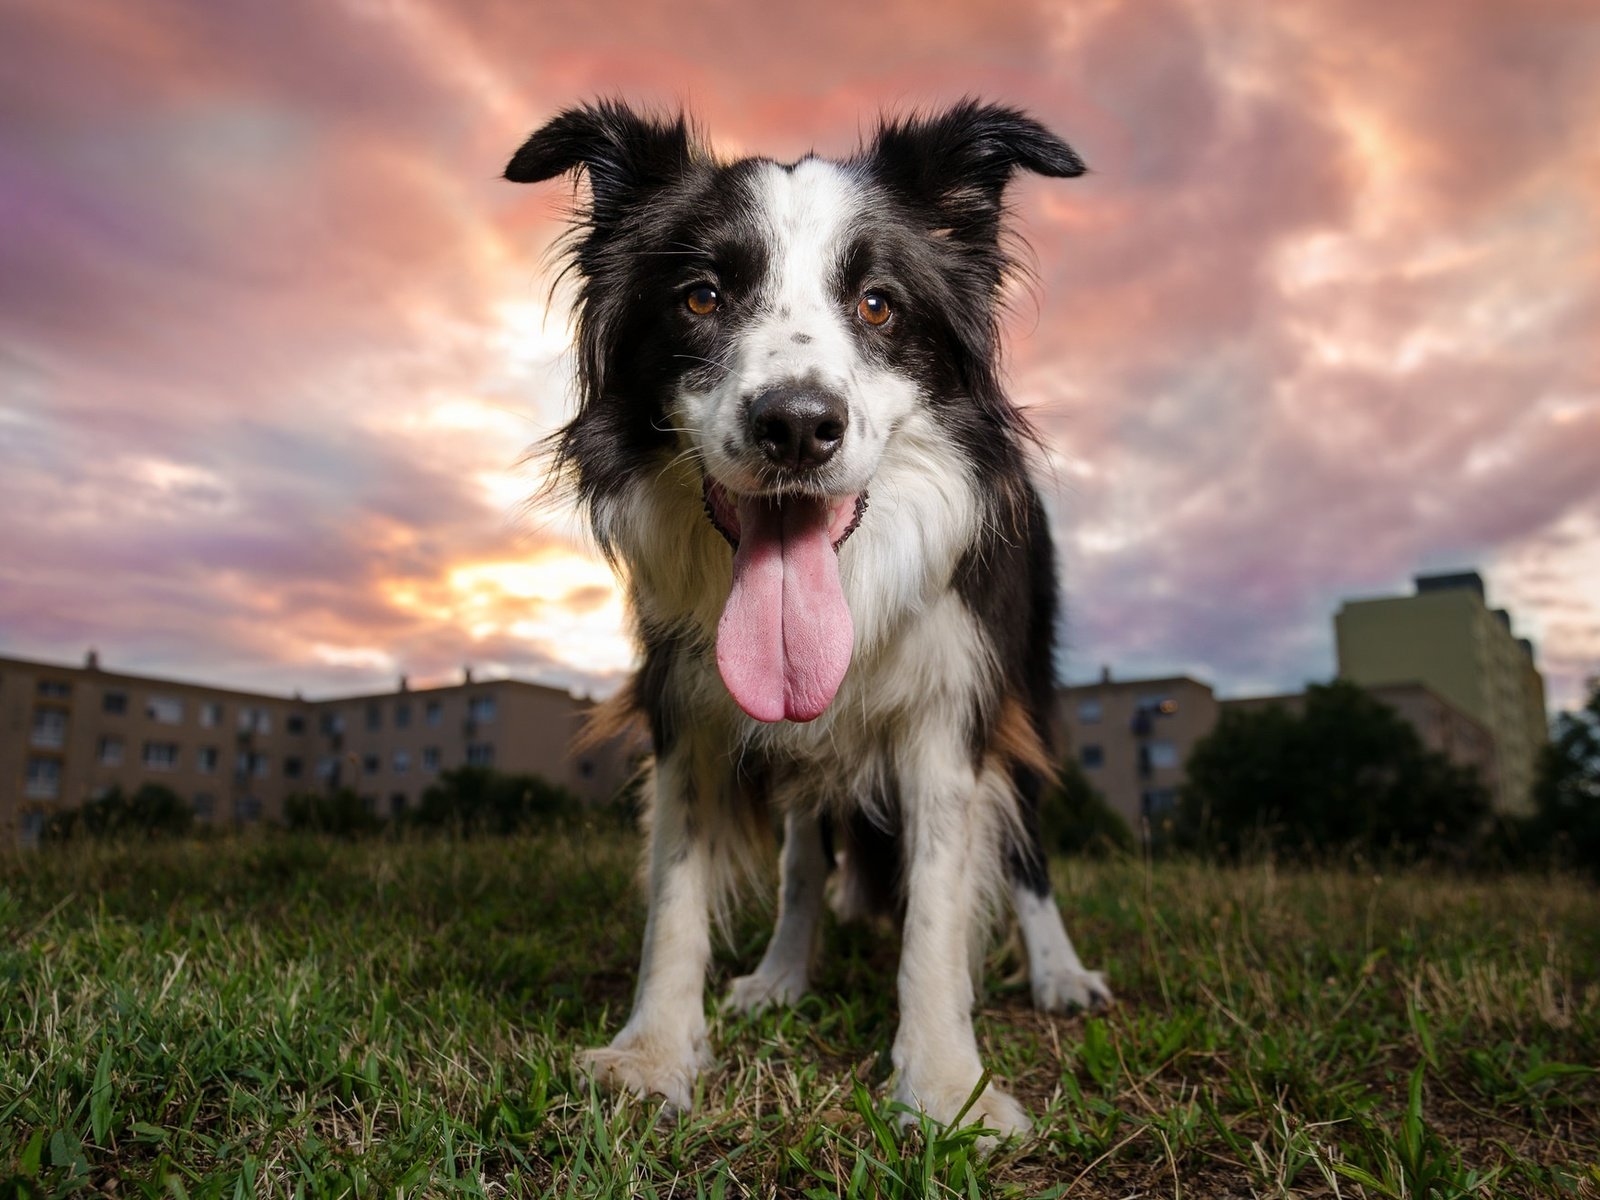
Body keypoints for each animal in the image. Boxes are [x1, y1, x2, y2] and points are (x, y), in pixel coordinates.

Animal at [505, 101, 1107, 1139]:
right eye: (701, 297)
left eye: (877, 305)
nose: (795, 426)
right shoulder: (689, 704)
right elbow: (677, 891)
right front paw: (652, 1055)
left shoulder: (952, 705)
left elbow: (937, 907)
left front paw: (945, 1086)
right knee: (799, 860)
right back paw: (782, 973)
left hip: (1025, 685)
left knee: (1025, 841)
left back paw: (1059, 973)